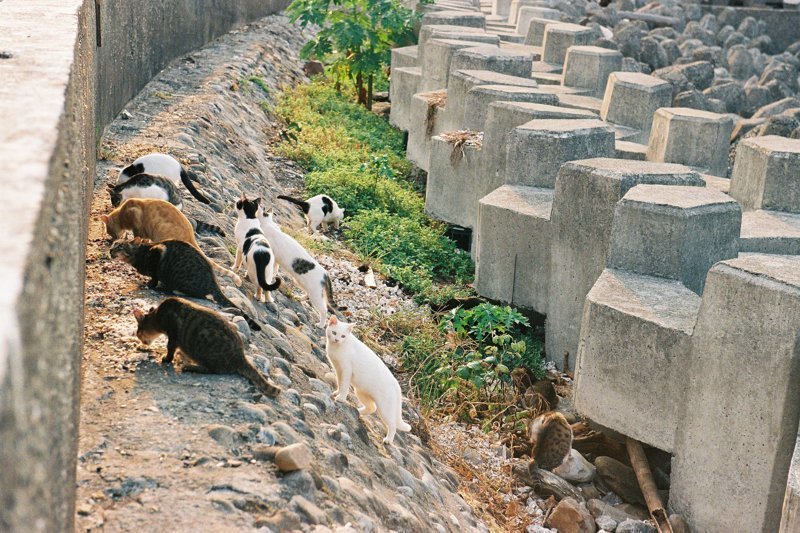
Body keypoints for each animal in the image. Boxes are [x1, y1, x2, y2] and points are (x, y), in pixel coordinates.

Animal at [99, 197, 241, 284]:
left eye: (110, 232)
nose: (112, 239)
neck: (123, 213)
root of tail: (191, 233)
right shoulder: (144, 233)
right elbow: (144, 240)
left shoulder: (137, 228)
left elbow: (138, 240)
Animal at [111, 239, 260, 330]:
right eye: (113, 244)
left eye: (120, 246)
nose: (110, 251)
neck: (140, 253)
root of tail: (214, 281)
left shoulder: (158, 252)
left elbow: (154, 276)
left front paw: (150, 284)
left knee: (200, 294)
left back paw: (175, 290)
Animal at [133, 298, 280, 396]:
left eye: (138, 332)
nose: (140, 339)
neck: (158, 315)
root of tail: (240, 356)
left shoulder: (173, 334)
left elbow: (170, 349)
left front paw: (167, 358)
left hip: (206, 352)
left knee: (212, 369)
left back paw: (190, 366)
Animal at [324, 314, 412, 442]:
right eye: (334, 333)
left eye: (343, 336)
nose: (337, 340)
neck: (336, 348)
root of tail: (396, 383)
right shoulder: (338, 369)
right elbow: (340, 383)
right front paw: (337, 393)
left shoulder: (346, 370)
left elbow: (344, 386)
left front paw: (341, 398)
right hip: (361, 392)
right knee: (371, 408)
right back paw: (358, 411)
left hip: (385, 409)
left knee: (393, 425)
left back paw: (388, 440)